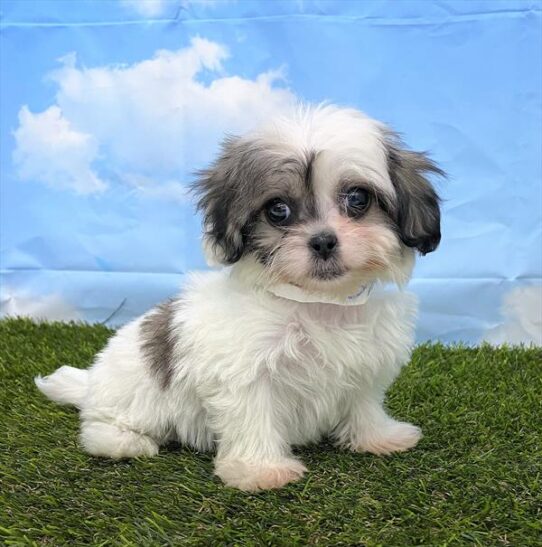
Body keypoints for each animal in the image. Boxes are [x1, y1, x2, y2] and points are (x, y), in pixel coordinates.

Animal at [38, 103, 446, 492]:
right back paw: (124, 441)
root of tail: (92, 382)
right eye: (278, 210)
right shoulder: (245, 371)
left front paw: (378, 436)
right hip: (132, 394)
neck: (318, 302)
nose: (324, 241)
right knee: (98, 426)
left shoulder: (366, 364)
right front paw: (261, 470)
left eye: (359, 198)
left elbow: (363, 403)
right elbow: (253, 417)